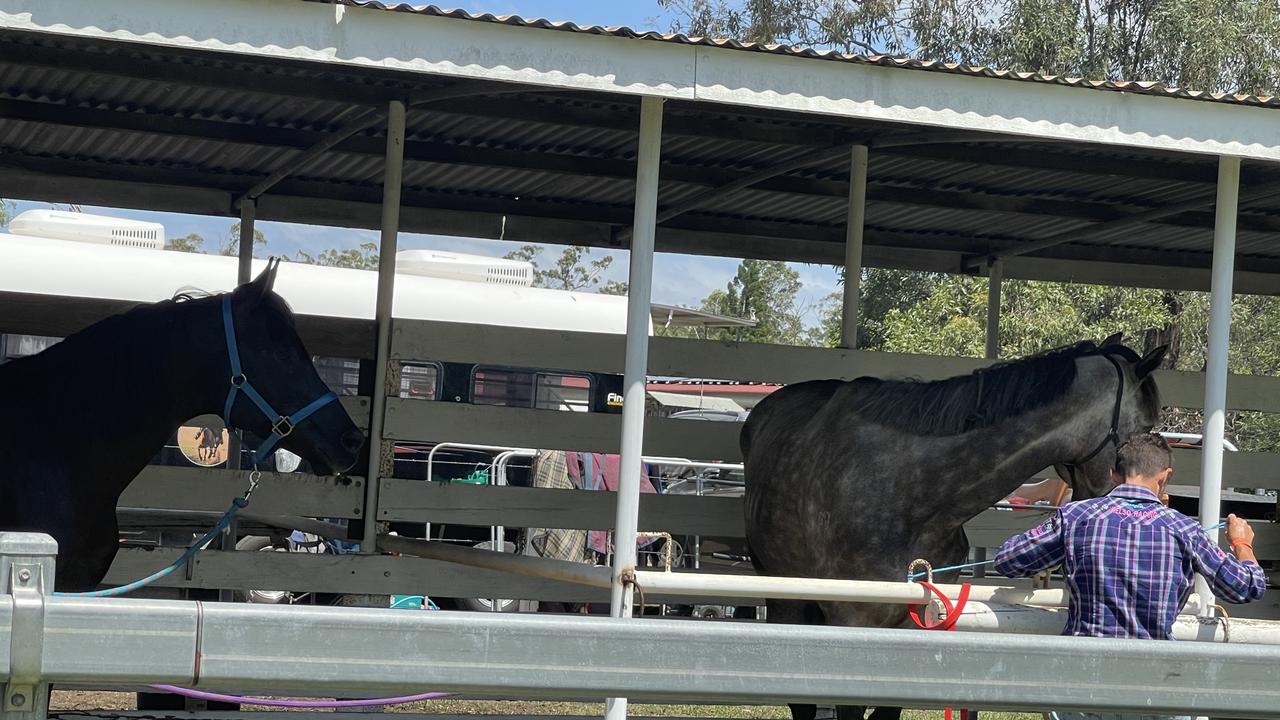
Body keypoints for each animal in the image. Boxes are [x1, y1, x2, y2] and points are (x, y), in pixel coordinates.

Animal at [742, 335, 1172, 717]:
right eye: (1148, 425)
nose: (1156, 501)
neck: (912, 492)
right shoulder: (854, 622)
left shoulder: (916, 625)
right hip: (785, 597)